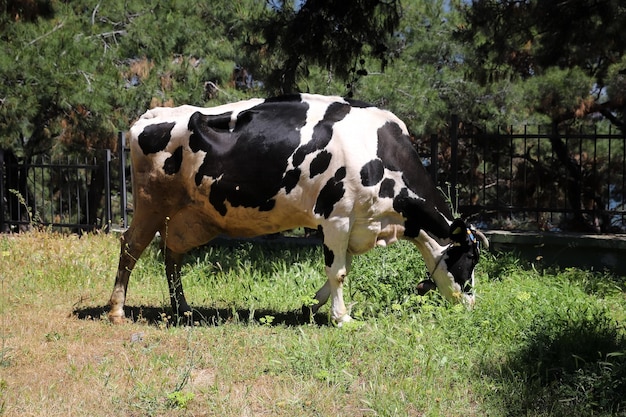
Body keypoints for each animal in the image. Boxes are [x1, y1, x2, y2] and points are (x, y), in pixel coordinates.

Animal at [109, 92, 486, 324]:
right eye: (469, 260)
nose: (472, 304)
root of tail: (155, 113)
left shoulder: (355, 224)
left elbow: (339, 269)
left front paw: (310, 305)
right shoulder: (336, 217)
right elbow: (339, 272)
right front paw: (341, 317)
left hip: (187, 215)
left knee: (171, 253)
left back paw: (183, 309)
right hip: (151, 202)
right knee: (131, 247)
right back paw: (116, 310)